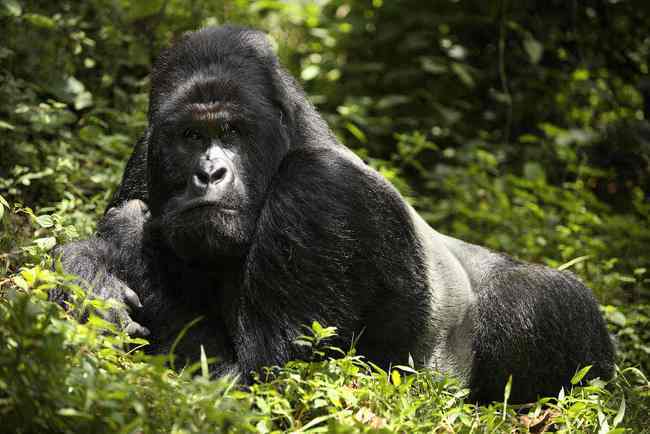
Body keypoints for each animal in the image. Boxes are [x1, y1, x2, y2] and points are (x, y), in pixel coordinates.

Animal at [57, 24, 612, 404]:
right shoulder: (147, 149)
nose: (210, 174)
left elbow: (266, 379)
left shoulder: (318, 190)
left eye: (233, 132)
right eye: (192, 136)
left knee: (539, 300)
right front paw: (85, 272)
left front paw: (125, 237)